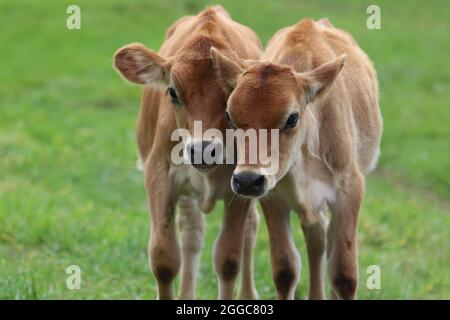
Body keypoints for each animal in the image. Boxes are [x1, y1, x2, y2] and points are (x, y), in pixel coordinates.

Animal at [113, 6, 264, 298]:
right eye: (172, 92)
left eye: (232, 93)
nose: (203, 150)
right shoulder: (159, 175)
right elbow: (164, 259)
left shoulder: (242, 184)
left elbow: (228, 260)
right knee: (192, 233)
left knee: (250, 230)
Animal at [213, 18, 382, 298]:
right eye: (229, 115)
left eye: (292, 118)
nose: (247, 180)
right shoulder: (272, 195)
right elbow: (285, 270)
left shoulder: (350, 189)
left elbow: (343, 275)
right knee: (316, 236)